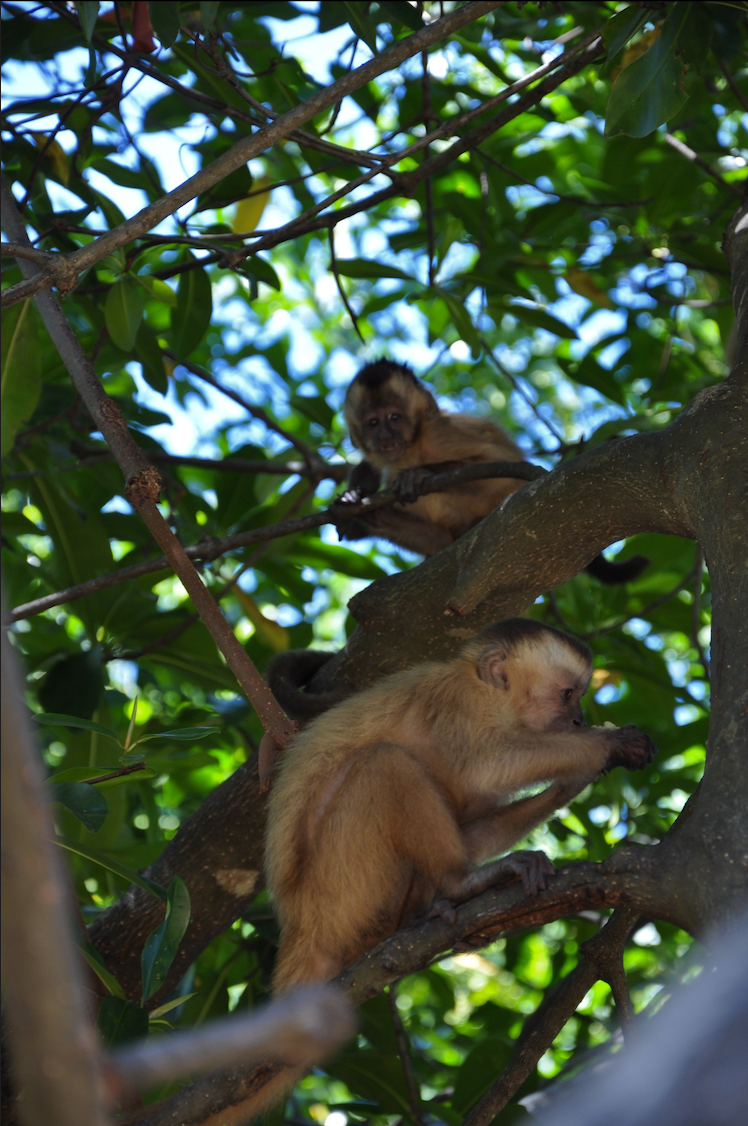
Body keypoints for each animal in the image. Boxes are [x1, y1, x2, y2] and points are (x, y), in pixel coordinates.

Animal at [265, 617, 656, 994]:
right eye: (567, 695)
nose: (580, 721)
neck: (492, 701)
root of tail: (299, 925)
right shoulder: (455, 704)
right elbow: (484, 768)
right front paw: (608, 745)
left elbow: (471, 828)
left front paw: (583, 774)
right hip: (335, 888)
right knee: (385, 763)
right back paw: (462, 882)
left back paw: (422, 918)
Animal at [335, 360, 649, 585]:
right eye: (373, 423)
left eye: (395, 418)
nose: (386, 437)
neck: (412, 449)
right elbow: (438, 539)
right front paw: (357, 503)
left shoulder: (440, 434)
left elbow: (500, 468)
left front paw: (417, 474)